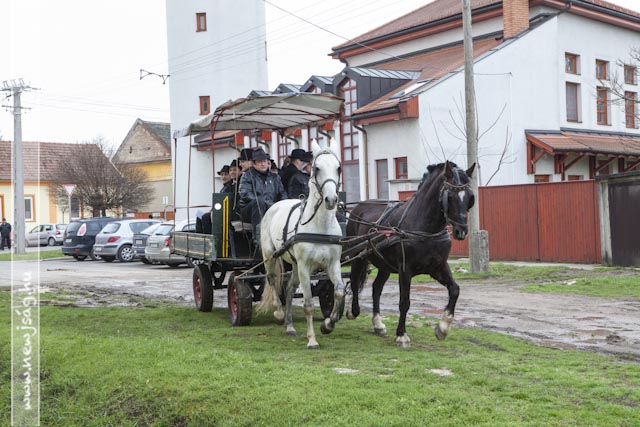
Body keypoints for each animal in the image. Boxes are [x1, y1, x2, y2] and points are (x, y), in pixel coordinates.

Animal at [257, 139, 345, 349]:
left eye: (338, 168)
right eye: (317, 168)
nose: (331, 199)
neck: (320, 226)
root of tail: (275, 205)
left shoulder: (333, 264)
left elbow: (339, 292)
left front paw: (328, 325)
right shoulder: (306, 266)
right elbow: (308, 305)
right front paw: (312, 339)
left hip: (295, 264)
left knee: (289, 289)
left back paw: (289, 326)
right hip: (269, 256)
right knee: (272, 279)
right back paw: (279, 313)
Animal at [346, 161, 475, 348]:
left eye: (470, 197)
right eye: (449, 197)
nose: (461, 231)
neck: (426, 228)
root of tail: (359, 206)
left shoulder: (438, 267)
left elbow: (455, 290)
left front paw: (443, 328)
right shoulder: (405, 269)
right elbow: (404, 302)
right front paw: (402, 335)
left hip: (384, 265)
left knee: (376, 288)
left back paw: (377, 323)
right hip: (357, 255)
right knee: (355, 281)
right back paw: (352, 311)